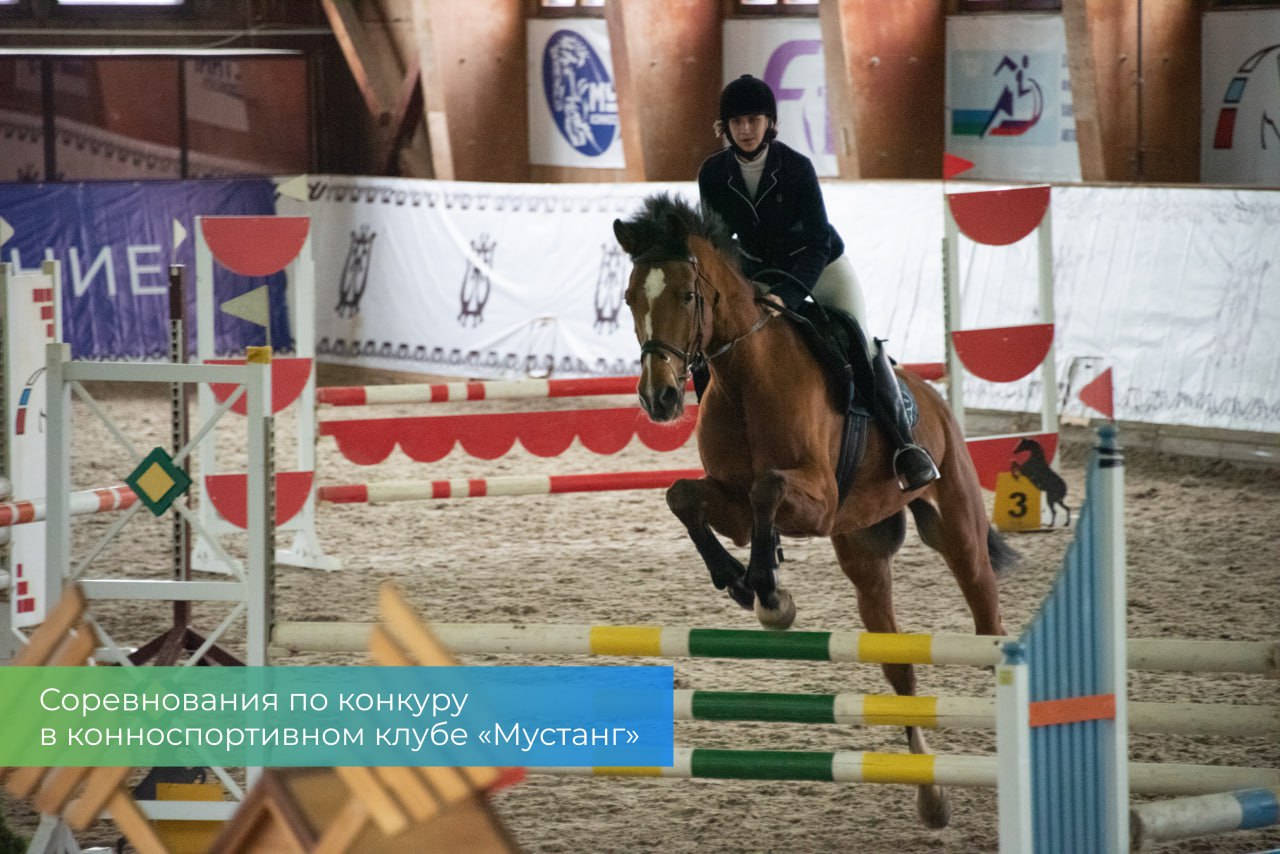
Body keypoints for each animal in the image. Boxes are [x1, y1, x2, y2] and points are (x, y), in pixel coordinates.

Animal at [612, 194, 1018, 830]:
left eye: (686, 295)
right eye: (632, 297)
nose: (660, 399)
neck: (746, 375)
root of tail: (932, 398)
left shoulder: (818, 502)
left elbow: (768, 489)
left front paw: (766, 588)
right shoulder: (733, 503)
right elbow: (685, 496)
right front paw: (740, 579)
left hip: (958, 531)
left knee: (986, 622)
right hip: (864, 554)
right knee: (899, 667)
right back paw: (931, 796)